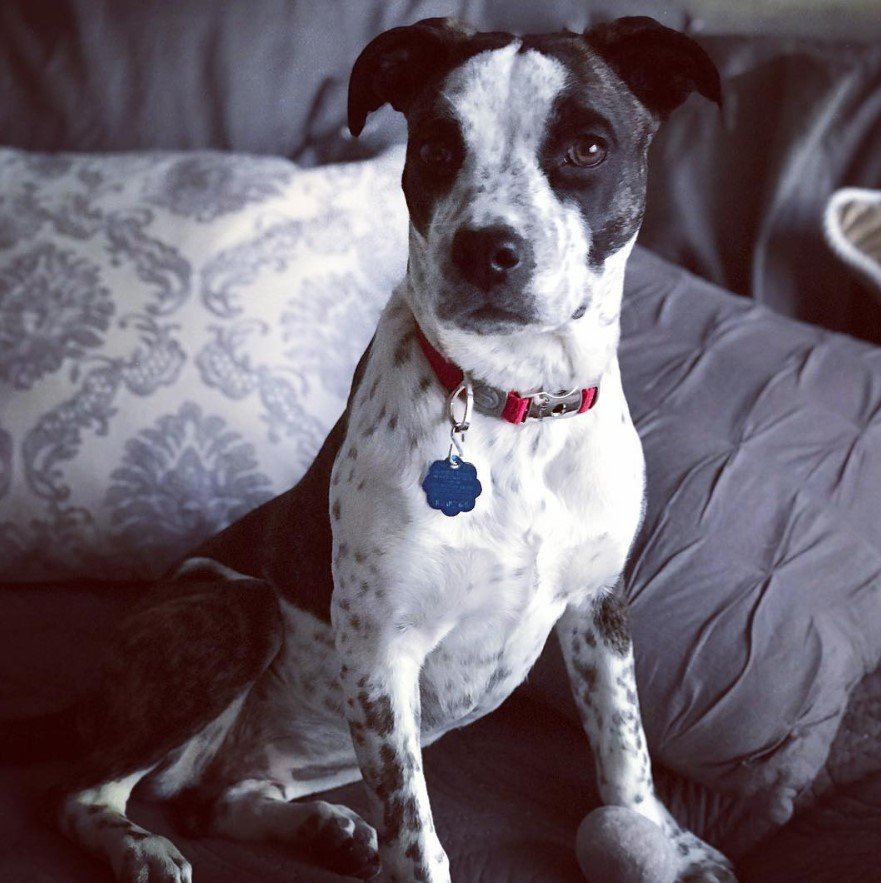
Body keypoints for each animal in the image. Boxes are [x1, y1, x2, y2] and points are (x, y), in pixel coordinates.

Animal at [27, 13, 732, 883]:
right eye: (435, 146)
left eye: (587, 147)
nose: (485, 249)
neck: (513, 406)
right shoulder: (380, 653)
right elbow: (415, 832)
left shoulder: (597, 608)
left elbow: (623, 749)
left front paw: (654, 836)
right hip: (238, 610)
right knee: (80, 791)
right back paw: (139, 846)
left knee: (215, 797)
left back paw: (318, 825)